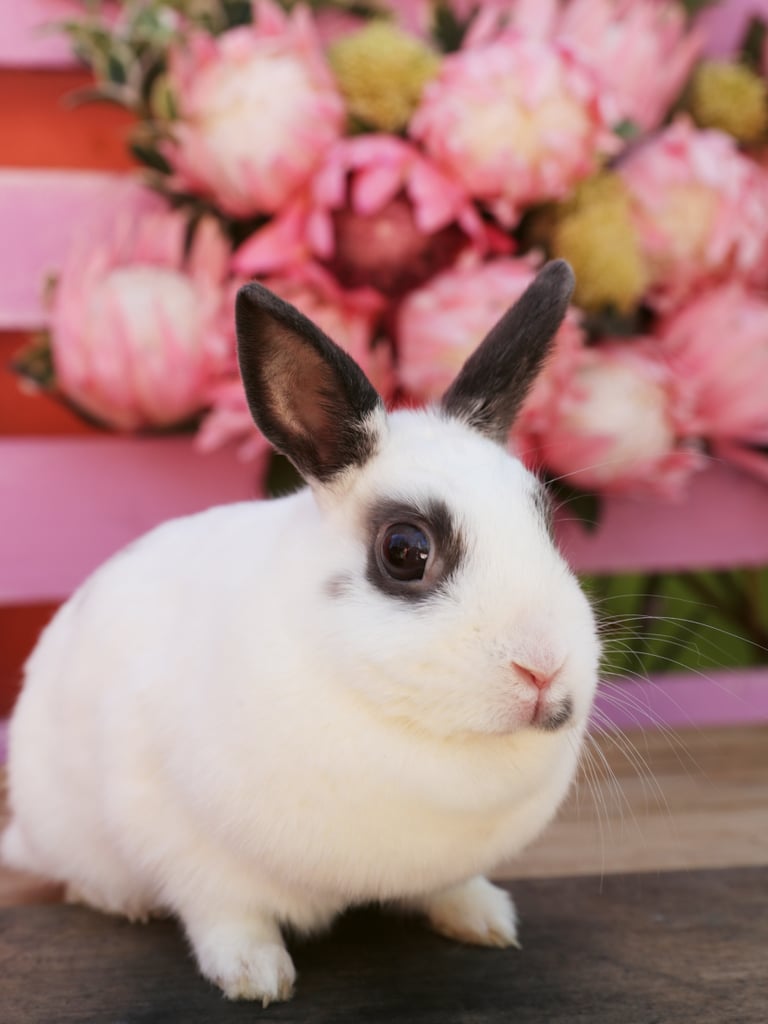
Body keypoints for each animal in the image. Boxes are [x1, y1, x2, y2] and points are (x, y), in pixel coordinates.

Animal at [3, 260, 606, 1003]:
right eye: (405, 550)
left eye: (546, 523)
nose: (544, 668)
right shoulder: (192, 850)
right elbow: (225, 913)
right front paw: (256, 977)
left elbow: (451, 886)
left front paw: (486, 919)